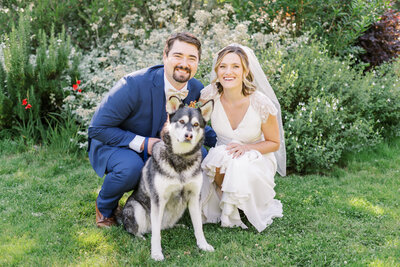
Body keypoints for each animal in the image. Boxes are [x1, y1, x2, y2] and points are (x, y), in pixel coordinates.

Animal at [117, 96, 214, 262]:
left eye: (196, 124)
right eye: (181, 121)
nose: (189, 135)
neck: (181, 159)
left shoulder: (195, 197)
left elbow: (199, 226)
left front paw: (203, 245)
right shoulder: (158, 199)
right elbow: (156, 234)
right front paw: (156, 253)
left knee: (164, 226)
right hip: (135, 208)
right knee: (138, 229)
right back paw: (140, 236)